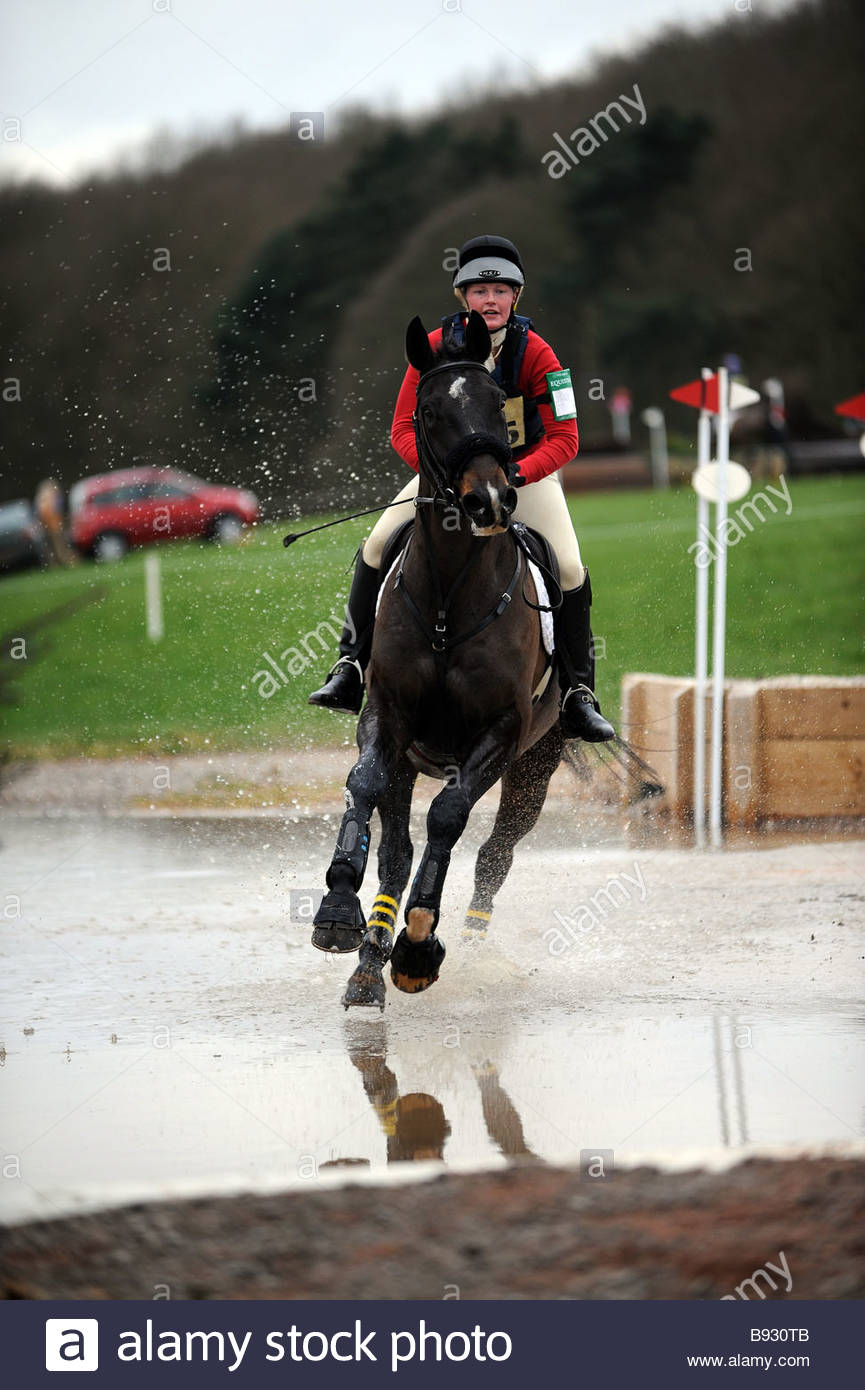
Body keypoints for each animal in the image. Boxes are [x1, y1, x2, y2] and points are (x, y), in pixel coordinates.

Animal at [310, 309, 568, 1008]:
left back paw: (459, 946)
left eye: (496, 405)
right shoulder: (388, 716)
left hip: (535, 769)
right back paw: (368, 966)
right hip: (415, 758)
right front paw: (339, 912)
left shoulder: (501, 733)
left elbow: (449, 819)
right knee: (396, 848)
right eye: (428, 411)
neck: (451, 595)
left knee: (495, 855)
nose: (490, 502)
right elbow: (365, 788)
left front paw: (419, 949)